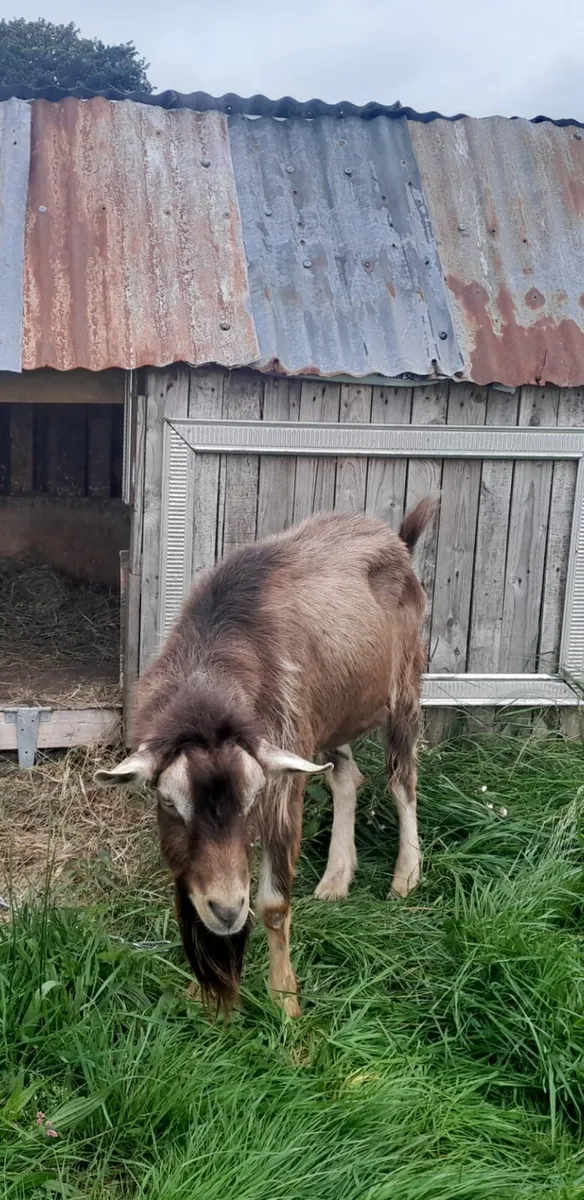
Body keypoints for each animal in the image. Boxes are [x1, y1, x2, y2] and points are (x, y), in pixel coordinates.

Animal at [95, 497, 438, 1015]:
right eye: (169, 803)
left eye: (251, 800)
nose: (227, 909)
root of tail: (398, 541)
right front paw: (202, 992)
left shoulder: (282, 780)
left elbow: (274, 905)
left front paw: (286, 1004)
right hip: (329, 713)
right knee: (346, 777)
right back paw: (335, 880)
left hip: (405, 686)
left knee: (402, 778)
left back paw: (406, 877)